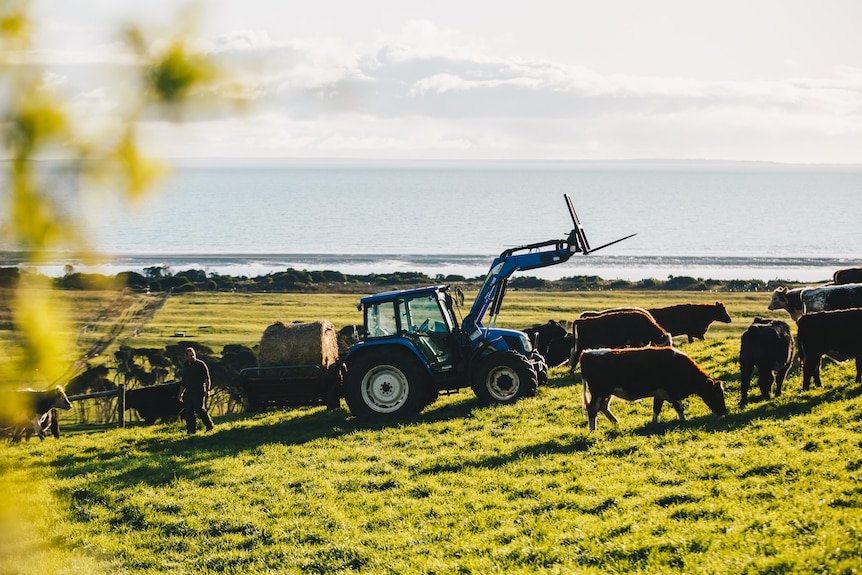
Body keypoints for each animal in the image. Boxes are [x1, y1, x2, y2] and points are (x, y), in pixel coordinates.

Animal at [580, 346, 728, 432]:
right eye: (716, 394)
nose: (724, 412)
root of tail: (586, 353)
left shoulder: (660, 394)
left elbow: (657, 408)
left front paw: (654, 423)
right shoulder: (672, 392)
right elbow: (679, 408)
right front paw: (684, 422)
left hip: (606, 393)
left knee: (603, 407)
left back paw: (616, 422)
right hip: (598, 392)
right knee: (592, 408)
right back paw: (593, 429)